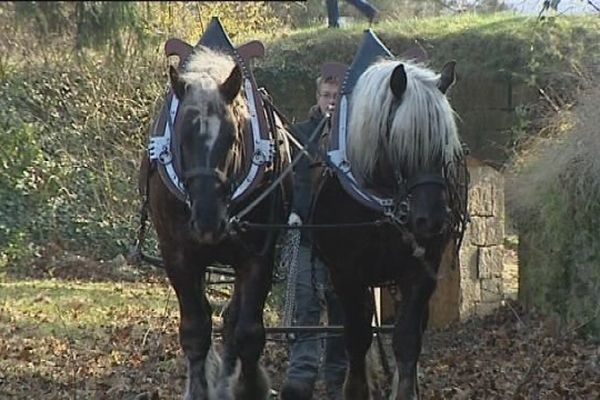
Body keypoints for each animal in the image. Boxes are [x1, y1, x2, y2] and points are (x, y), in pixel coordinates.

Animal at [139, 42, 292, 398]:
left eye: (233, 137)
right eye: (181, 139)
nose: (208, 222)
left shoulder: (258, 256)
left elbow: (248, 331)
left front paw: (249, 386)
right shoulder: (178, 255)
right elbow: (196, 330)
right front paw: (199, 388)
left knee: (234, 320)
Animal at [312, 50, 472, 400]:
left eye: (445, 147)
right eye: (402, 143)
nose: (432, 220)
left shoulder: (420, 271)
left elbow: (407, 339)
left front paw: (406, 388)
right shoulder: (346, 275)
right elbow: (357, 336)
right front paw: (357, 388)